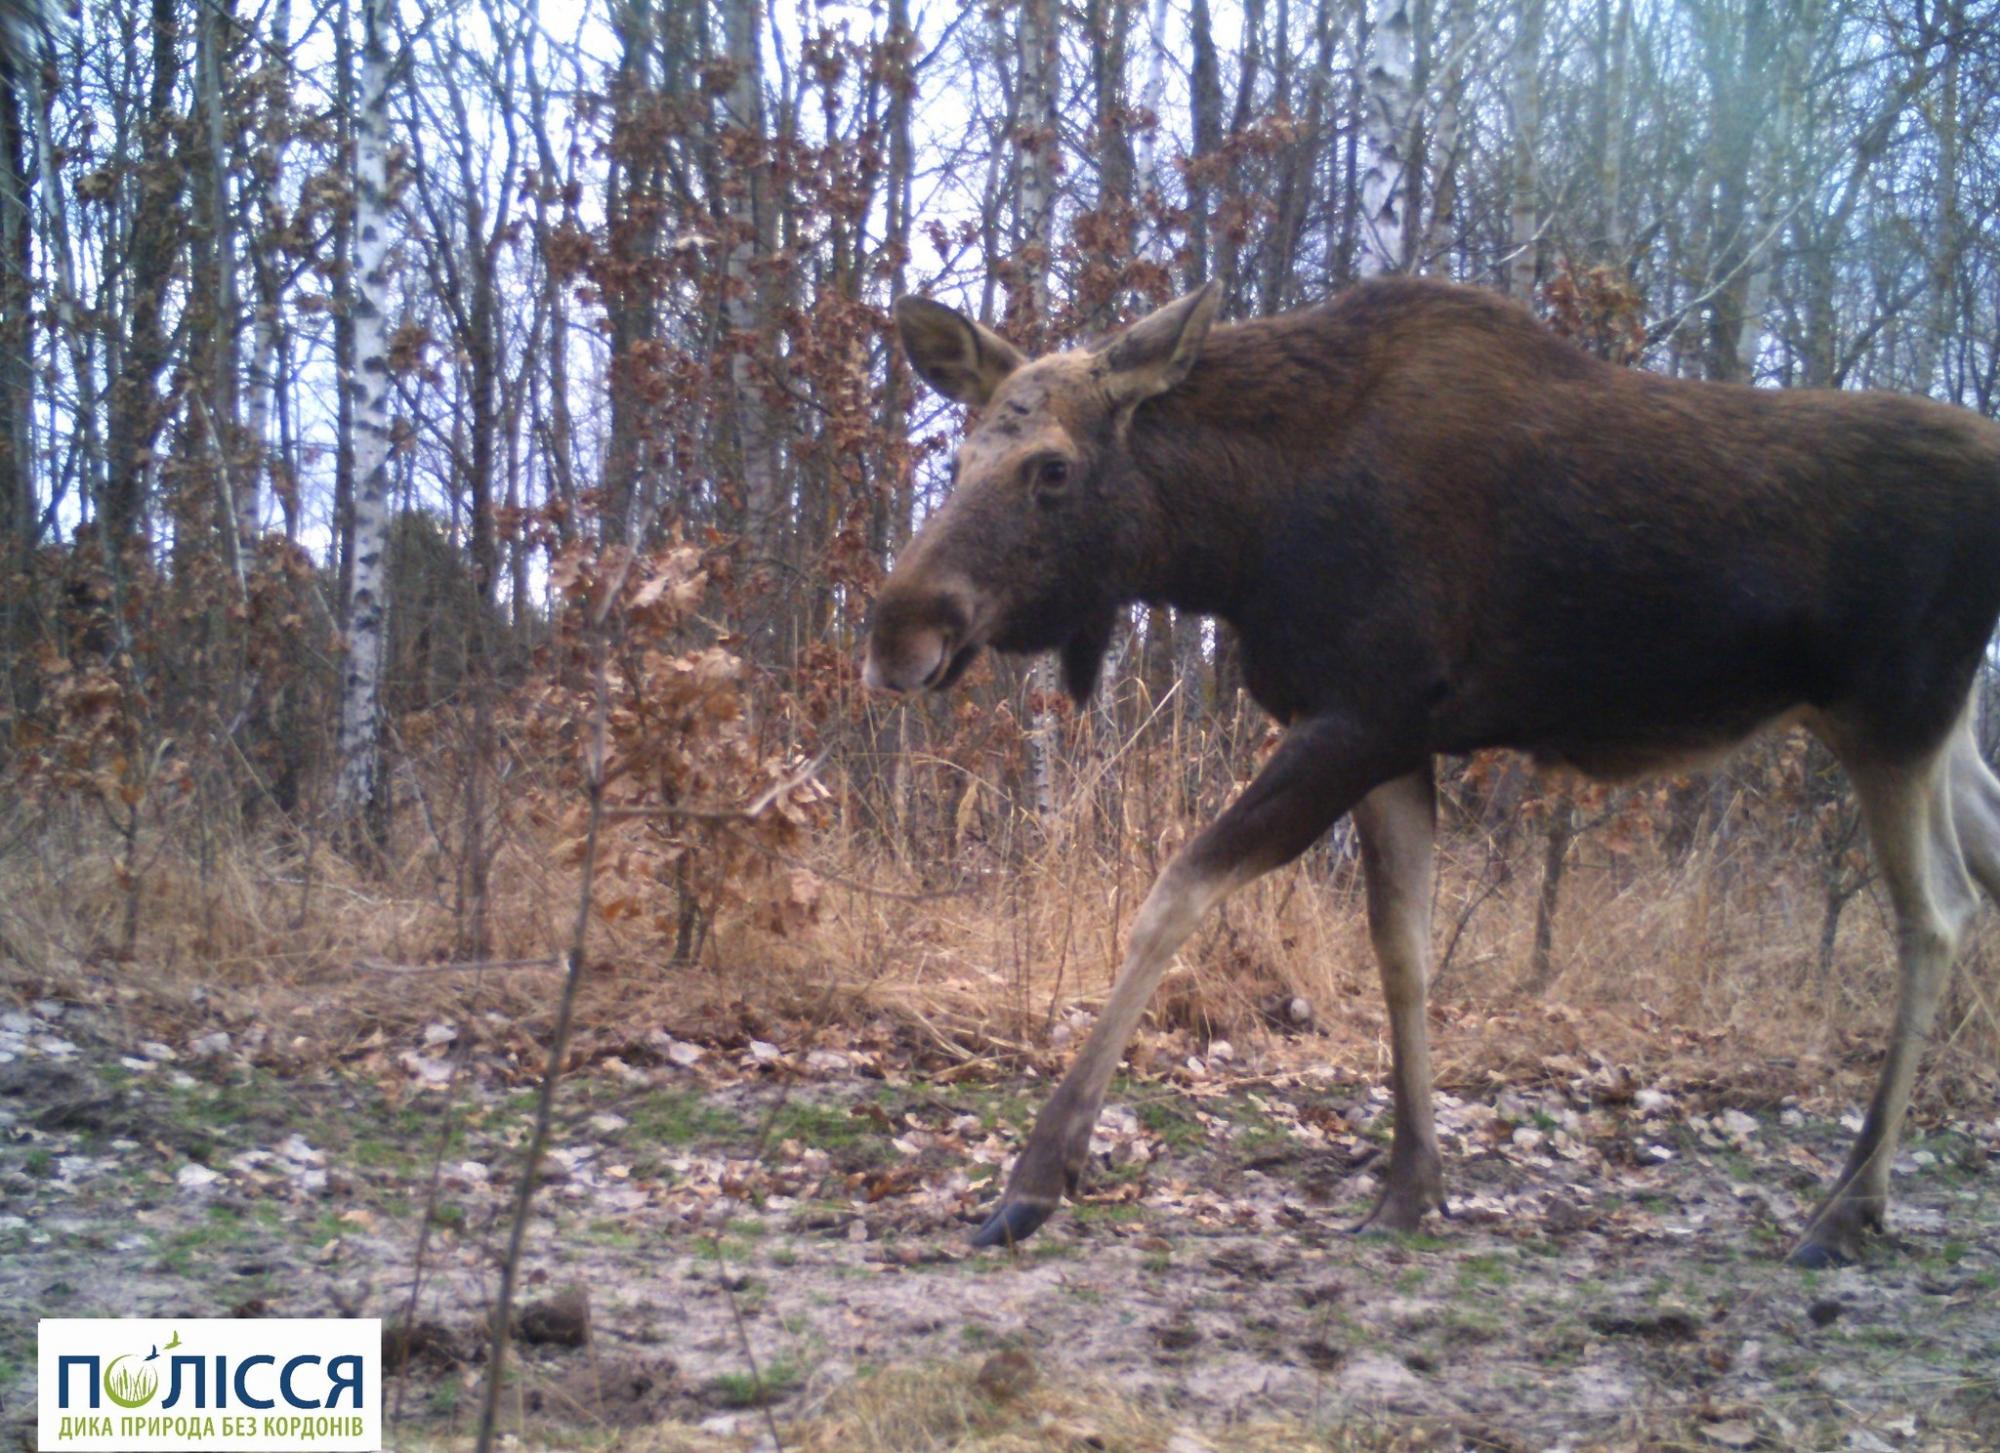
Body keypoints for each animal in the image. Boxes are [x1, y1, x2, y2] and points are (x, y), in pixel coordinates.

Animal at [868, 276, 2000, 1272]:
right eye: (960, 453)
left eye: (1052, 469)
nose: (896, 629)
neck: (1238, 533)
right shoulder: (1391, 738)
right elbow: (1402, 948)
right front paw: (1412, 1185)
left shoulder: (1358, 714)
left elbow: (1173, 895)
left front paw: (1035, 1177)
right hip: (1939, 728)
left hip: (1891, 712)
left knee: (1936, 913)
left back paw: (1844, 1209)